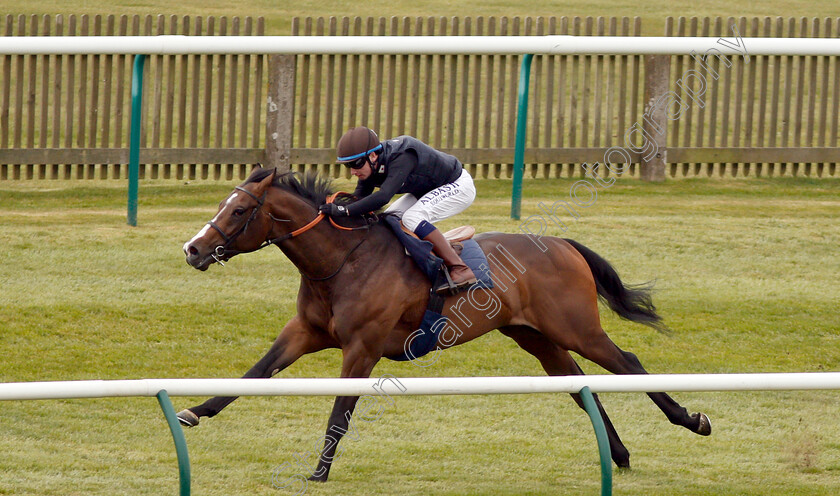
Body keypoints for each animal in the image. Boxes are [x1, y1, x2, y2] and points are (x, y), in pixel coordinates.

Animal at [179, 165, 708, 482]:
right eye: (222, 205)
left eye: (239, 210)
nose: (193, 249)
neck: (342, 261)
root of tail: (562, 243)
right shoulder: (305, 333)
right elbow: (254, 374)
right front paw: (193, 412)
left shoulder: (362, 348)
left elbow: (340, 410)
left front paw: (320, 471)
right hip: (536, 338)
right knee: (581, 389)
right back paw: (619, 455)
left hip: (577, 329)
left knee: (629, 363)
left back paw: (691, 421)